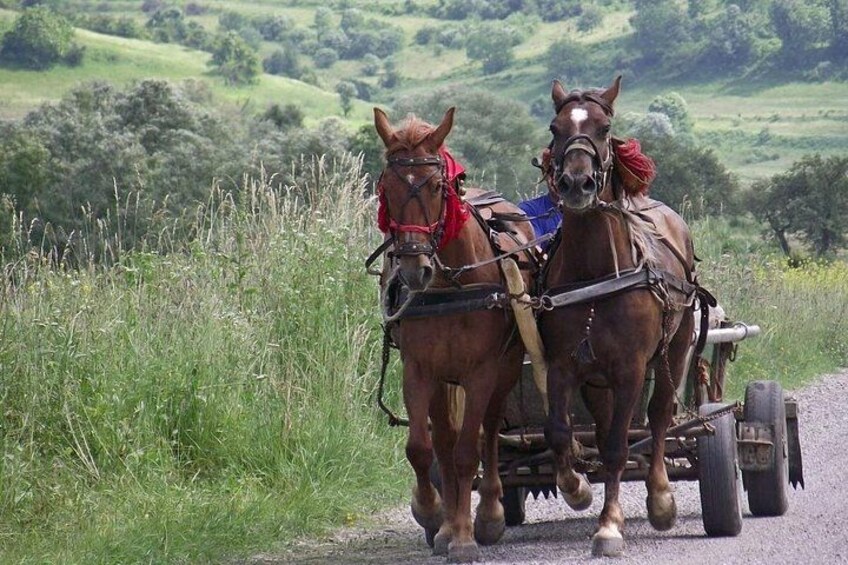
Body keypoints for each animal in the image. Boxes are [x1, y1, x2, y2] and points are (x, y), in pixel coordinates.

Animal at [372, 106, 536, 563]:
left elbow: (468, 452)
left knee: (489, 432)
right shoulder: (419, 369)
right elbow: (422, 448)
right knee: (443, 438)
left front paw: (466, 536)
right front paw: (434, 516)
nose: (414, 270)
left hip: (505, 369)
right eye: (387, 187)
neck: (450, 285)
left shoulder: (481, 372)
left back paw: (489, 514)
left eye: (435, 185)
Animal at [537, 76, 706, 557]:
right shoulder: (563, 365)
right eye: (555, 128)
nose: (577, 184)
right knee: (604, 419)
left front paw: (610, 525)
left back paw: (661, 497)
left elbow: (616, 446)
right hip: (597, 378)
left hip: (674, 351)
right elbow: (560, 432)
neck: (596, 272)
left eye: (604, 126)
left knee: (660, 414)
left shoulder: (631, 369)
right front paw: (575, 486)